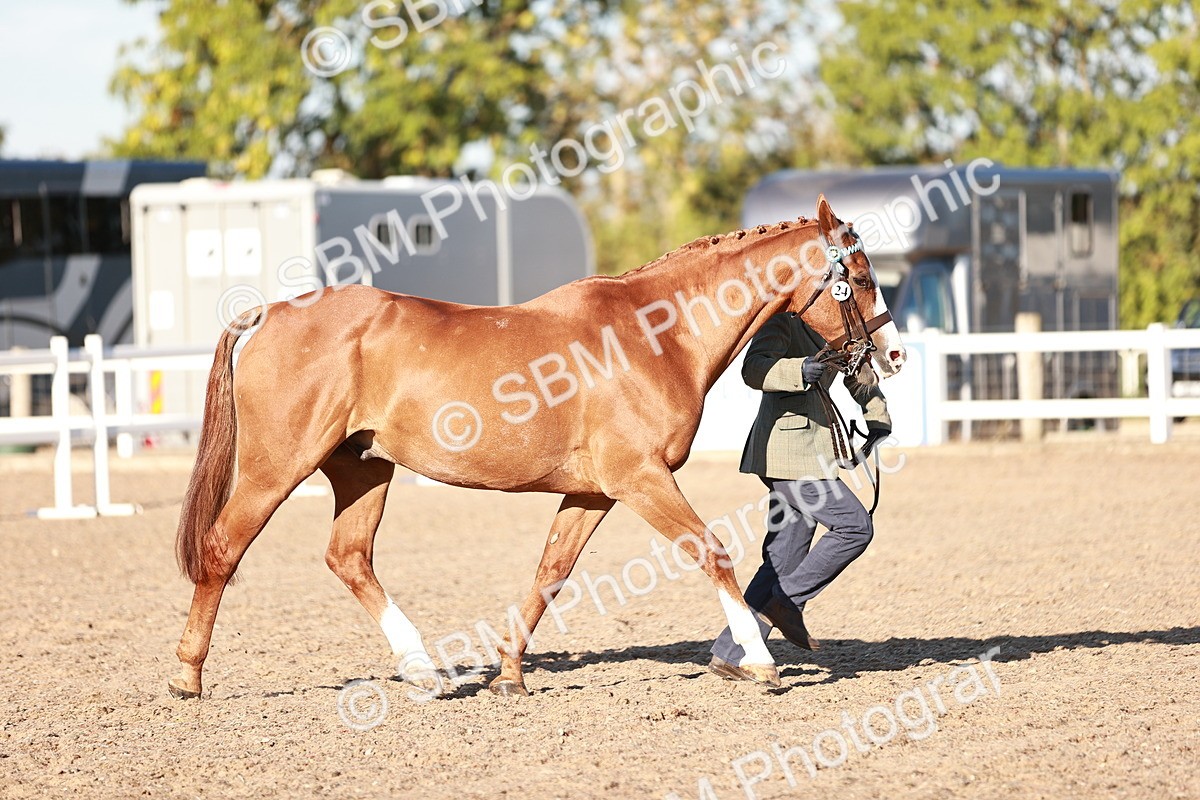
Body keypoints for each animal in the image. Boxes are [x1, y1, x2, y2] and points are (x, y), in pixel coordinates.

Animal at [167, 194, 906, 699]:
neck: (657, 333)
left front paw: (510, 674)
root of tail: (268, 313)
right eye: (861, 275)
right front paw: (760, 661)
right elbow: (712, 552)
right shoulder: (641, 479)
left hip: (363, 470)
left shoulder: (592, 493)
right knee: (223, 549)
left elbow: (550, 573)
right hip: (276, 467)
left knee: (348, 558)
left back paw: (425, 672)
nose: (892, 356)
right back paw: (189, 676)